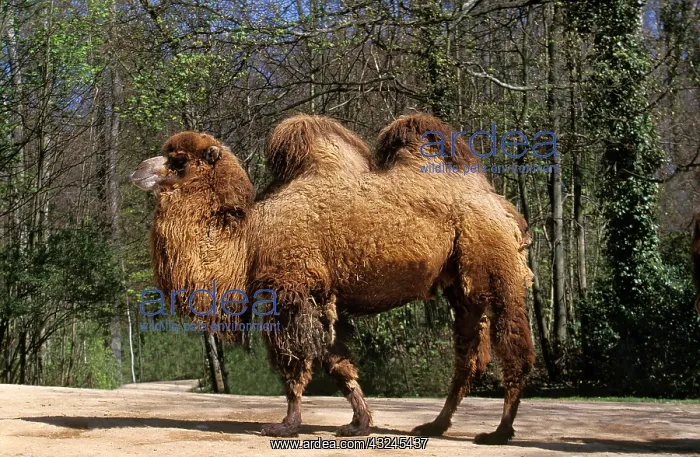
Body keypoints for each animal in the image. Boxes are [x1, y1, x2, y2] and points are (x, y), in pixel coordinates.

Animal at [130, 114, 535, 445]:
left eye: (179, 161)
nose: (137, 171)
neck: (249, 239)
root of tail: (500, 203)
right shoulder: (320, 296)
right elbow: (336, 361)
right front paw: (359, 423)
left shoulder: (291, 291)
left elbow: (295, 361)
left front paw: (286, 424)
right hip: (460, 285)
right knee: (469, 355)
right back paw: (436, 425)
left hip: (494, 261)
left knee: (513, 346)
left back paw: (500, 431)